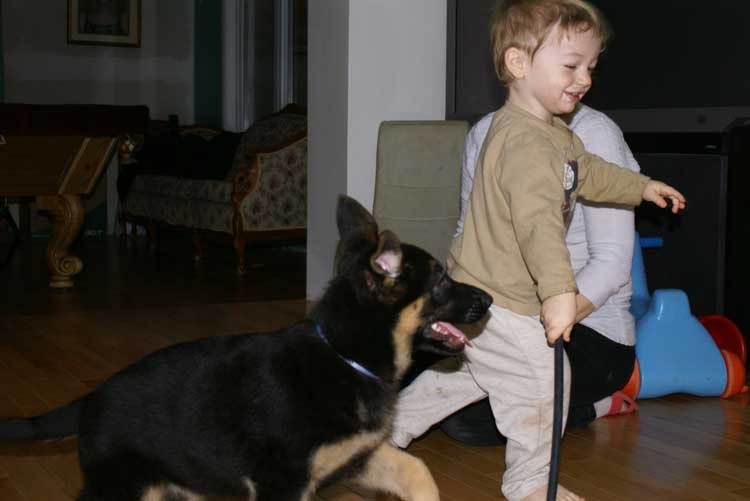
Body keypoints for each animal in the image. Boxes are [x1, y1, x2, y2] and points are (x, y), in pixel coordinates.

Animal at [0, 196, 494, 500]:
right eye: (441, 281)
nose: (489, 300)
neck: (344, 355)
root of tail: (90, 399)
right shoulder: (283, 482)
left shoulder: (356, 459)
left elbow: (417, 470)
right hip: (127, 489)